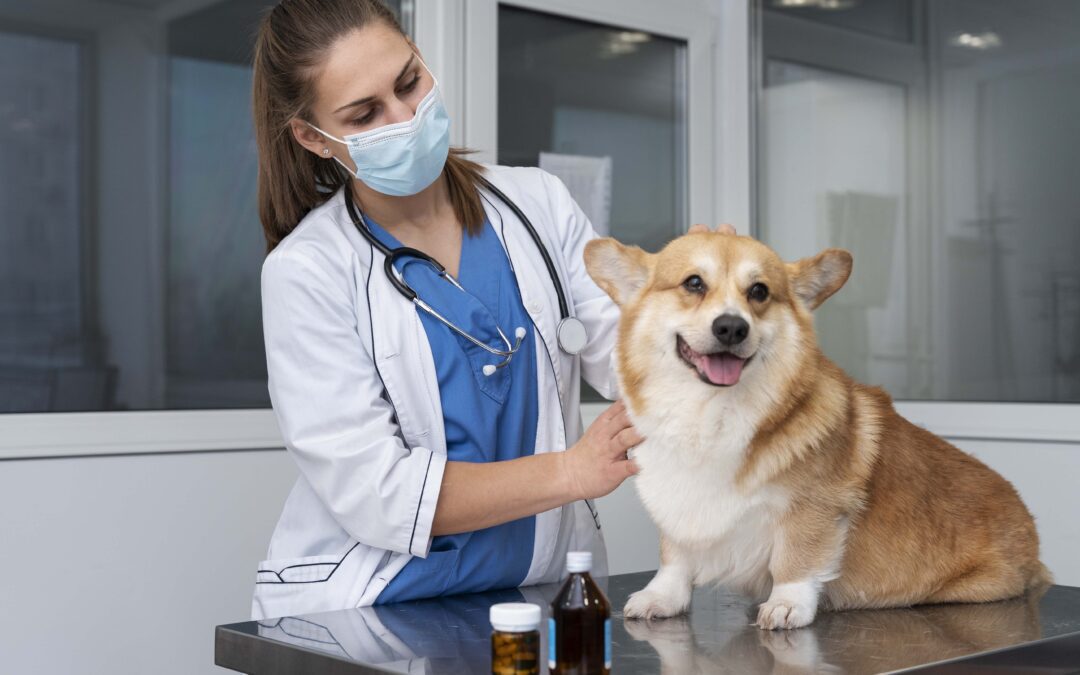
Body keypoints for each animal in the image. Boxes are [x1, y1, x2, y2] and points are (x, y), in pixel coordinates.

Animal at [587, 228, 1049, 630]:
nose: (732, 327)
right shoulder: (679, 507)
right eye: (694, 283)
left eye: (759, 292)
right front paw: (661, 597)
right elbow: (675, 556)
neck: (712, 413)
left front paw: (787, 604)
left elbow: (796, 557)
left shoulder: (814, 507)